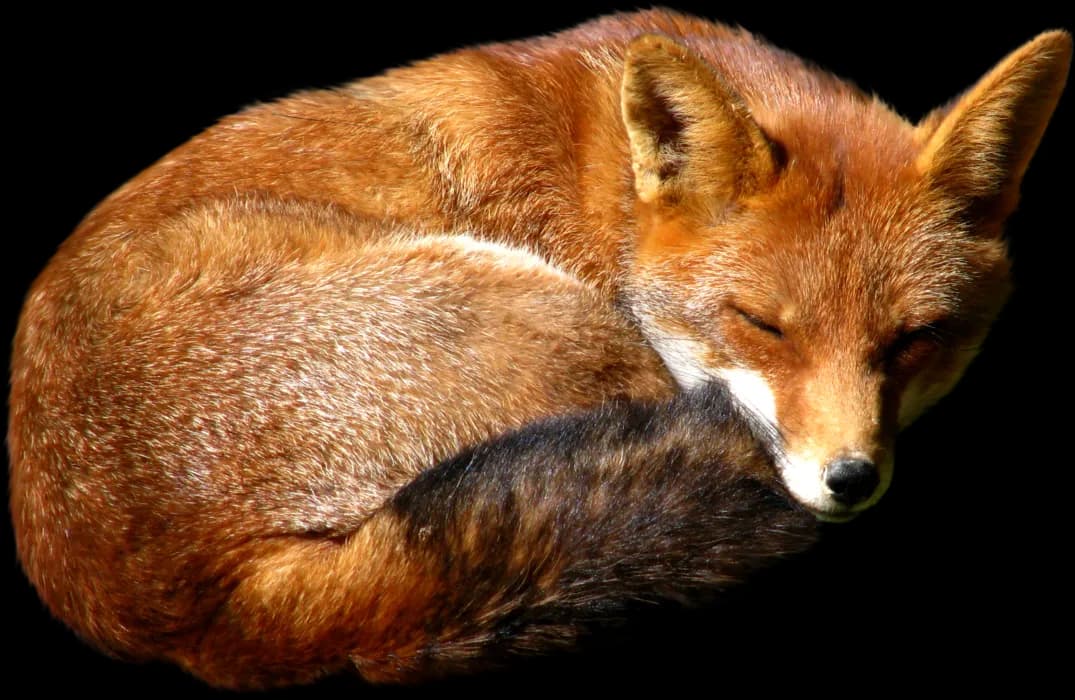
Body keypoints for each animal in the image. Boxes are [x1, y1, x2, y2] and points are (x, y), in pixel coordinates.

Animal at [8, 8, 1071, 690]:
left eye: (914, 340)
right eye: (762, 325)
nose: (847, 479)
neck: (606, 190)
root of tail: (195, 614)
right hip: (559, 324)